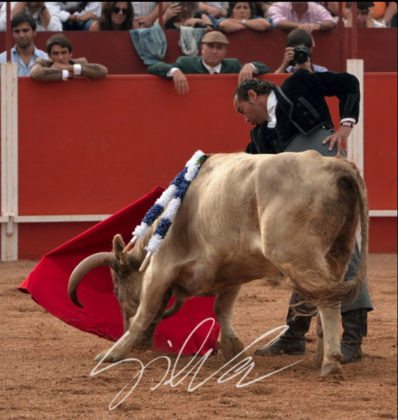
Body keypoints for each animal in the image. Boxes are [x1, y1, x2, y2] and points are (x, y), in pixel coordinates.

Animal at [67, 152, 366, 378]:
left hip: (296, 255)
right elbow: (222, 309)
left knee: (328, 300)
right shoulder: (232, 272)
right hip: (338, 253)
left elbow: (144, 313)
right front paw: (233, 348)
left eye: (117, 290)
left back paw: (331, 362)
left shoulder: (160, 268)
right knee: (327, 297)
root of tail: (335, 166)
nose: (140, 345)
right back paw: (319, 358)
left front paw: (112, 353)